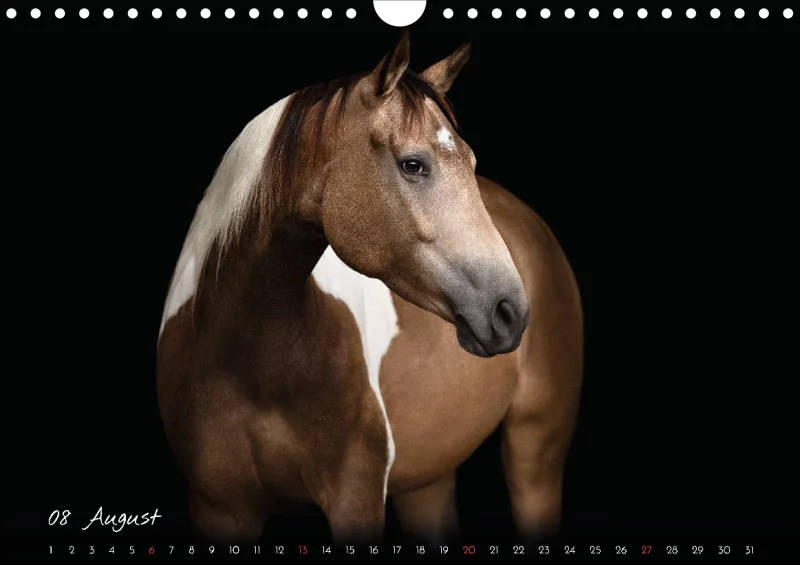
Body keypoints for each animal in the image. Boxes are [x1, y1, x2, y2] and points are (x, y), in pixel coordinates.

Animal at [156, 31, 583, 545]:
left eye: (470, 162)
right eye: (413, 164)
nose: (510, 311)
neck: (250, 364)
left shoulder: (354, 499)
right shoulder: (218, 510)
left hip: (536, 449)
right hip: (427, 481)